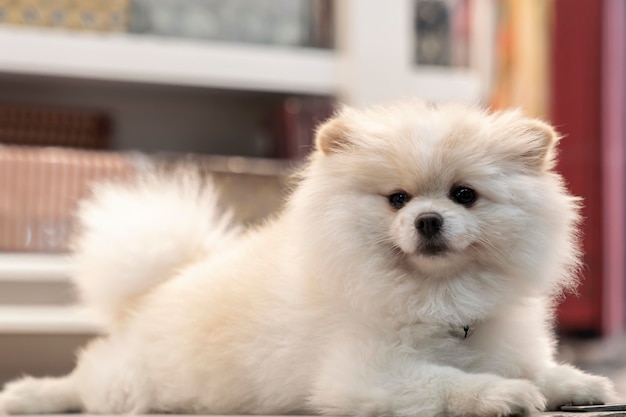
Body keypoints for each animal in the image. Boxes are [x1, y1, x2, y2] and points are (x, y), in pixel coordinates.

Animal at [0, 99, 616, 414]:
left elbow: (536, 367)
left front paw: (579, 384)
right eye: (398, 199)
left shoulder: (501, 341)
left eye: (464, 195)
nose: (428, 220)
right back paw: (29, 394)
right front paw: (503, 395)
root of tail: (159, 286)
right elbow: (449, 383)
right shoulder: (365, 375)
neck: (438, 298)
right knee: (85, 384)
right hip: (134, 382)